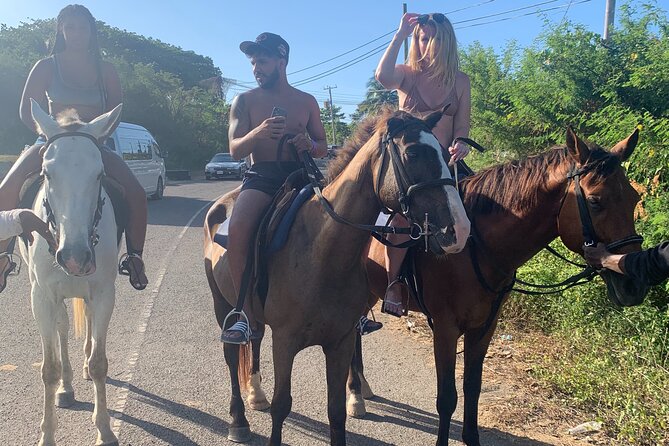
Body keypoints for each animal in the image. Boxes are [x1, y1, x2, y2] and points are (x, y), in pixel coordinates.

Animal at [19, 100, 122, 446]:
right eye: (46, 173)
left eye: (100, 173)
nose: (75, 257)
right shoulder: (41, 298)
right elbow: (49, 367)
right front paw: (47, 435)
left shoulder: (104, 293)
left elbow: (100, 362)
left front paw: (105, 430)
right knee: (62, 329)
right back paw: (66, 387)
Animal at [204, 109, 470, 446]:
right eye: (413, 153)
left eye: (446, 154)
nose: (459, 229)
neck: (321, 252)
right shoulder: (285, 342)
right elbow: (281, 406)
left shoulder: (340, 342)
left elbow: (336, 411)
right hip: (222, 305)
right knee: (231, 355)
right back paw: (238, 418)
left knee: (254, 337)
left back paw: (255, 395)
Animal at [348, 126, 644, 446]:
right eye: (595, 201)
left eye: (634, 198)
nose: (632, 283)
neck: (474, 245)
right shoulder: (445, 328)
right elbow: (447, 398)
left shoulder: (485, 327)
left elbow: (472, 387)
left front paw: (472, 437)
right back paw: (355, 396)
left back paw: (362, 388)